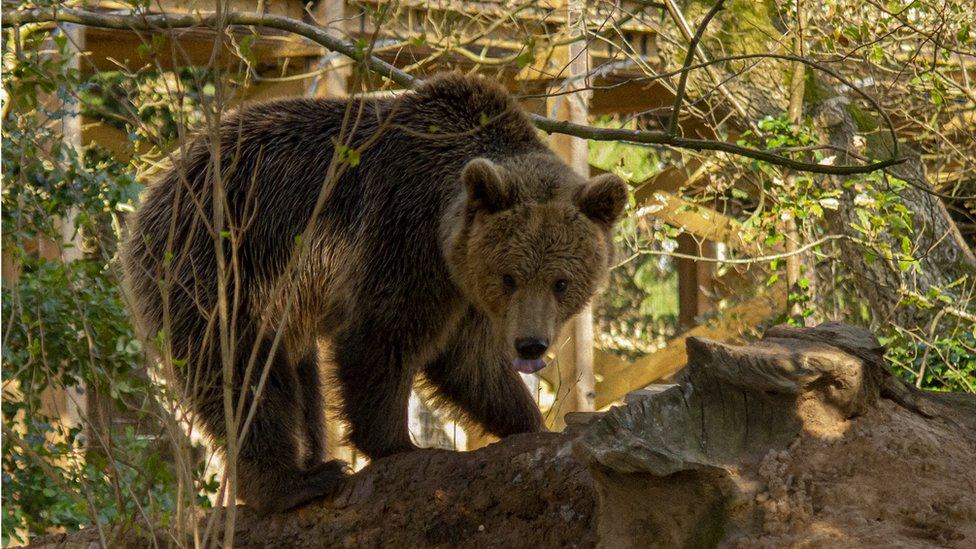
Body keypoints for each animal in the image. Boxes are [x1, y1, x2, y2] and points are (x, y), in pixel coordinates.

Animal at [120, 73, 624, 512]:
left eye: (561, 282)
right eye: (509, 277)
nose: (531, 344)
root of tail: (156, 187)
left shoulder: (465, 285)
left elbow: (470, 362)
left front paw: (530, 423)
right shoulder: (402, 232)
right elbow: (381, 336)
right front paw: (399, 444)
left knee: (299, 383)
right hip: (216, 264)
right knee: (240, 373)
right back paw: (296, 483)